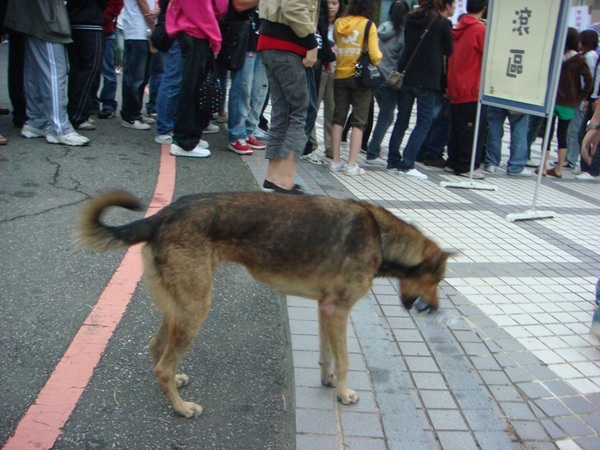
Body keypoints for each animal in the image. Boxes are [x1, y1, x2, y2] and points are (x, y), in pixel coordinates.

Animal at [76, 191, 450, 418]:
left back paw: (175, 387)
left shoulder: (325, 310)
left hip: (181, 306)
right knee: (162, 366)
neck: (380, 235)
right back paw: (182, 409)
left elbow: (327, 355)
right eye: (438, 281)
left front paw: (328, 381)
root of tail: (161, 216)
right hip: (195, 308)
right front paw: (344, 393)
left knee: (157, 350)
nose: (435, 310)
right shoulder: (339, 312)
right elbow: (344, 360)